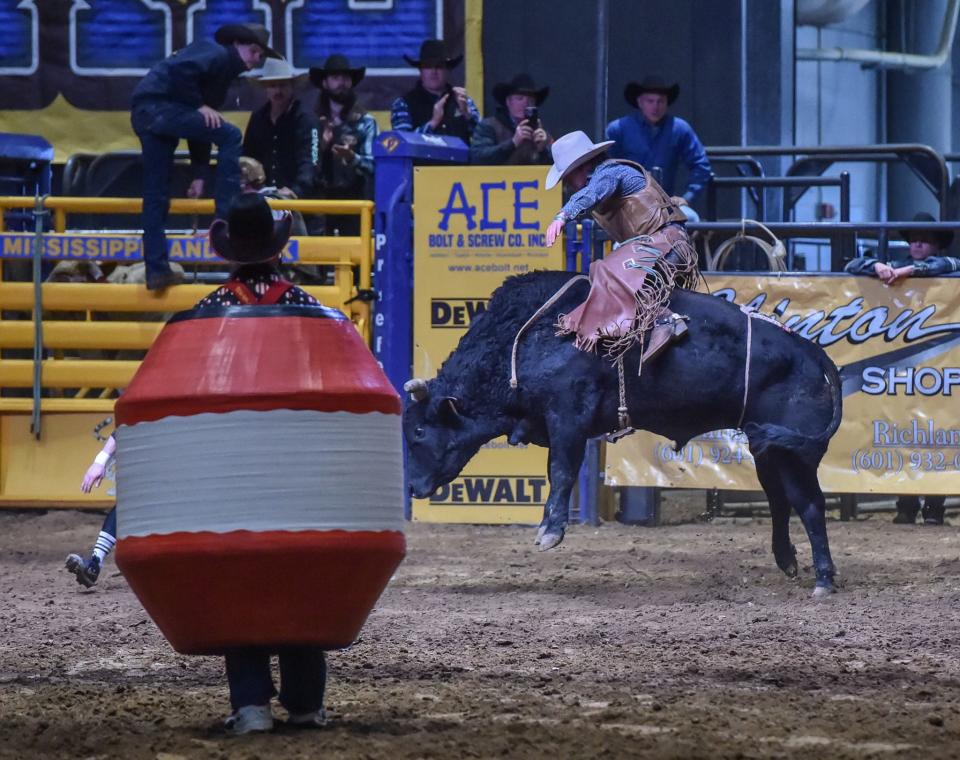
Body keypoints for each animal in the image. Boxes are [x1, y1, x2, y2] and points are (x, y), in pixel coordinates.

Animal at [404, 272, 840, 592]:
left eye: (420, 431)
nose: (410, 486)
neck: (525, 337)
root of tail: (815, 355)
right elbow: (554, 472)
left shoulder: (568, 415)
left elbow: (562, 471)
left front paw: (550, 532)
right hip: (768, 450)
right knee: (781, 502)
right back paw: (788, 561)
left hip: (794, 454)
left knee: (810, 504)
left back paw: (823, 579)